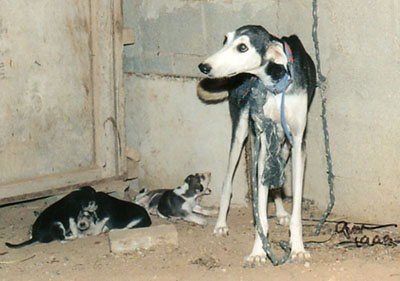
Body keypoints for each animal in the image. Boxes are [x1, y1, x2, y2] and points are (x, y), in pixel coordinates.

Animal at [197, 24, 316, 262]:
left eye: (243, 47)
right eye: (225, 40)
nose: (204, 66)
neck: (276, 82)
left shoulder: (298, 143)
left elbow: (296, 206)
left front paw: (298, 247)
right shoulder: (262, 141)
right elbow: (260, 209)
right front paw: (258, 251)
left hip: (282, 145)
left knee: (276, 180)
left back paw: (281, 212)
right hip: (242, 131)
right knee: (227, 182)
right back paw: (221, 224)